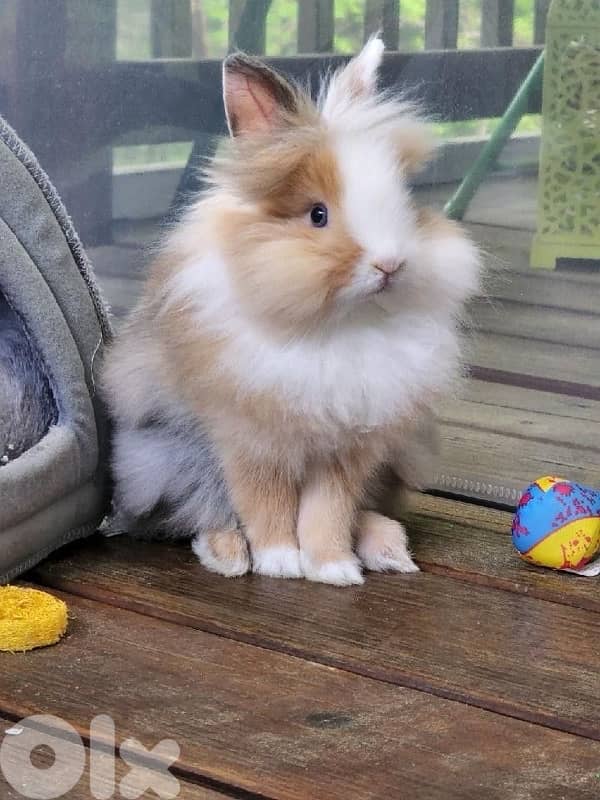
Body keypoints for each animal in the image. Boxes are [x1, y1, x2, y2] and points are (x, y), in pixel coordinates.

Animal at [101, 36, 481, 586]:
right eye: (317, 215)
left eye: (406, 204)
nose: (390, 264)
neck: (337, 326)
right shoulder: (251, 441)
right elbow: (265, 504)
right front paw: (279, 563)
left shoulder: (348, 450)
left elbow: (329, 511)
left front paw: (332, 569)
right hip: (166, 459)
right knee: (202, 510)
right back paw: (229, 555)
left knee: (363, 511)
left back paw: (388, 548)